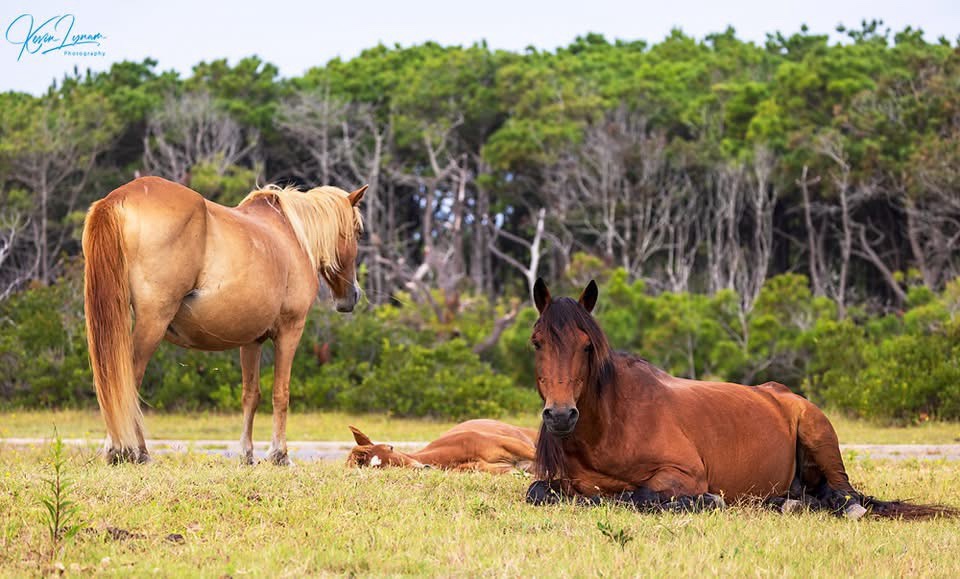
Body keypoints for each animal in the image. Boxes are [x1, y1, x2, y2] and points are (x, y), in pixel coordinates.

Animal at [82, 174, 366, 464]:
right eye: (358, 231)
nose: (352, 296)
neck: (291, 236)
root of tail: (118, 198)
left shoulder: (252, 341)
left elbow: (251, 395)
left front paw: (246, 453)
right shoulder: (290, 331)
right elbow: (281, 393)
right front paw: (279, 454)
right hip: (153, 322)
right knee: (128, 381)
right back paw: (130, 450)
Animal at [528, 278, 956, 520]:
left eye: (587, 346)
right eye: (537, 343)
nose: (561, 415)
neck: (611, 427)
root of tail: (785, 396)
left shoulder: (684, 474)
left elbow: (641, 496)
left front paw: (706, 502)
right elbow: (539, 493)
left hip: (819, 437)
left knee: (844, 495)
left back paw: (842, 508)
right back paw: (786, 504)